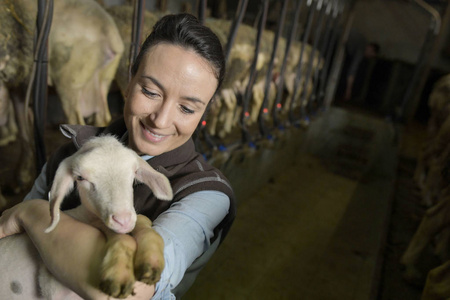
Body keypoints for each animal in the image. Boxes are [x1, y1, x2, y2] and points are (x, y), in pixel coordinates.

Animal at [0, 135, 174, 298]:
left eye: (134, 172)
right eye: (80, 178)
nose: (123, 220)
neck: (82, 215)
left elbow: (144, 221)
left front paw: (151, 261)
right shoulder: (52, 287)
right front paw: (118, 275)